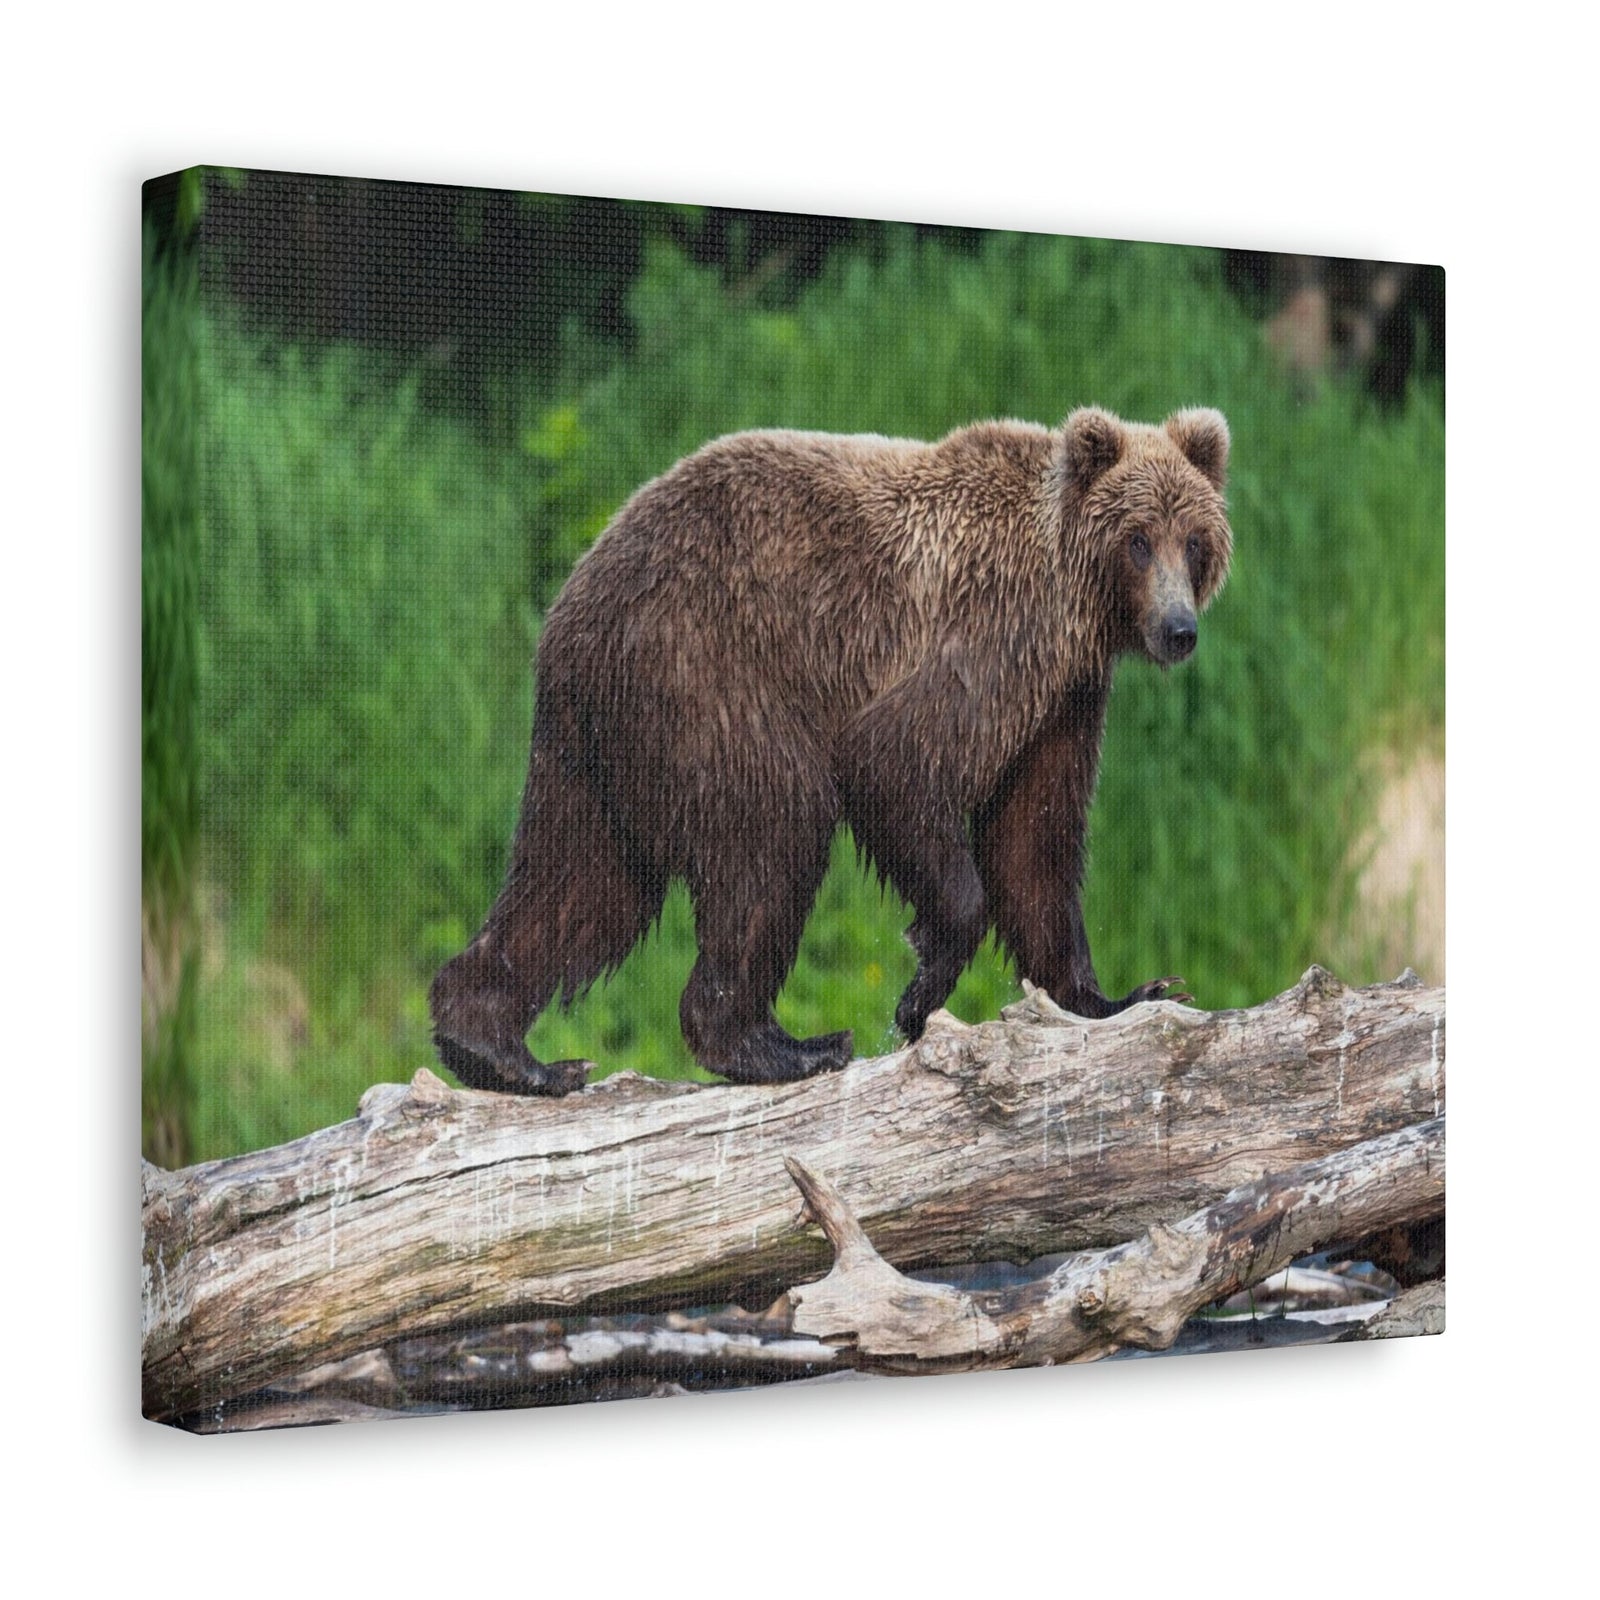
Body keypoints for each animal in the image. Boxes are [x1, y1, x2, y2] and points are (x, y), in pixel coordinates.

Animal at [429, 406, 1232, 1096]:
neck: (1075, 605)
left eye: (1194, 541)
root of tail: (569, 600)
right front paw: (919, 994)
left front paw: (1122, 994)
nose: (1179, 629)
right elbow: (898, 762)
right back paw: (785, 1046)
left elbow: (1034, 844)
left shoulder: (1064, 699)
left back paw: (498, 1048)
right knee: (772, 829)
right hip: (706, 670)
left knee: (583, 882)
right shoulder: (989, 638)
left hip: (604, 749)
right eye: (1138, 539)